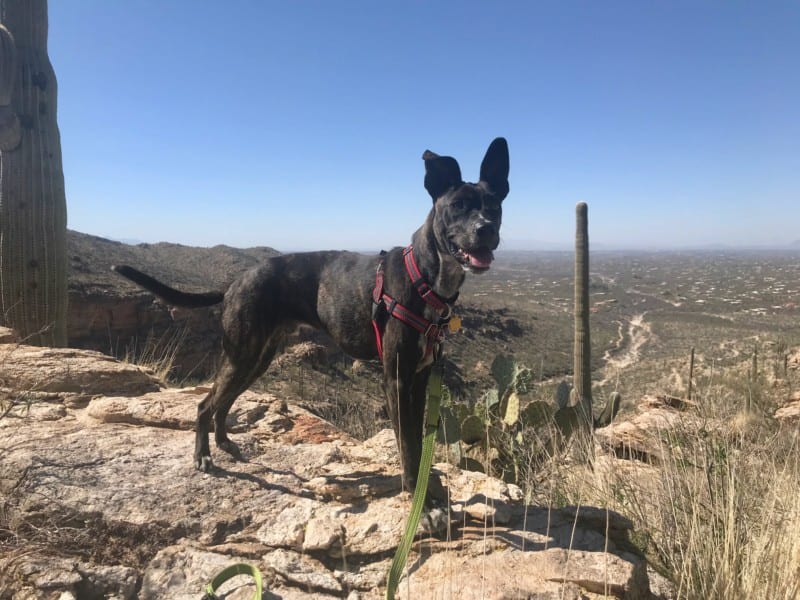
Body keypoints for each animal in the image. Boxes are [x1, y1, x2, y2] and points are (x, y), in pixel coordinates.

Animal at [114, 138, 506, 494]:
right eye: (458, 206)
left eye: (494, 205)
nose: (486, 228)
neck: (424, 276)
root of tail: (235, 282)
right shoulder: (396, 379)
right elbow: (407, 443)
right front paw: (418, 497)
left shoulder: (420, 378)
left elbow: (418, 439)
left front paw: (428, 486)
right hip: (243, 354)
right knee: (204, 404)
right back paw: (204, 455)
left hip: (257, 359)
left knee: (222, 402)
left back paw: (225, 443)